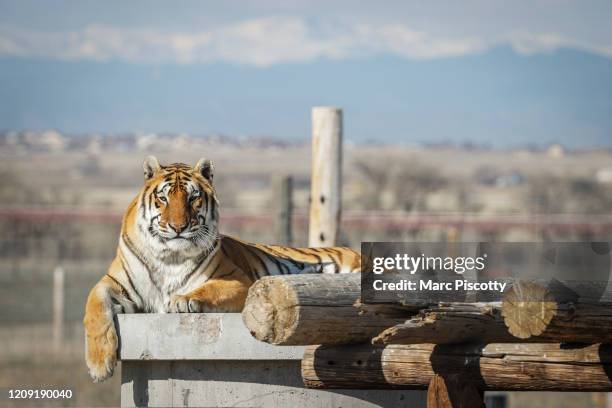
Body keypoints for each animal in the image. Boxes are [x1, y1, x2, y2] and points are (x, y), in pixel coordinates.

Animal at [81, 156, 358, 382]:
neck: (170, 257)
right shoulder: (114, 284)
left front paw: (182, 300)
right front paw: (98, 366)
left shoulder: (237, 281)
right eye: (163, 198)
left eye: (193, 198)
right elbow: (94, 306)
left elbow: (208, 290)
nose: (178, 227)